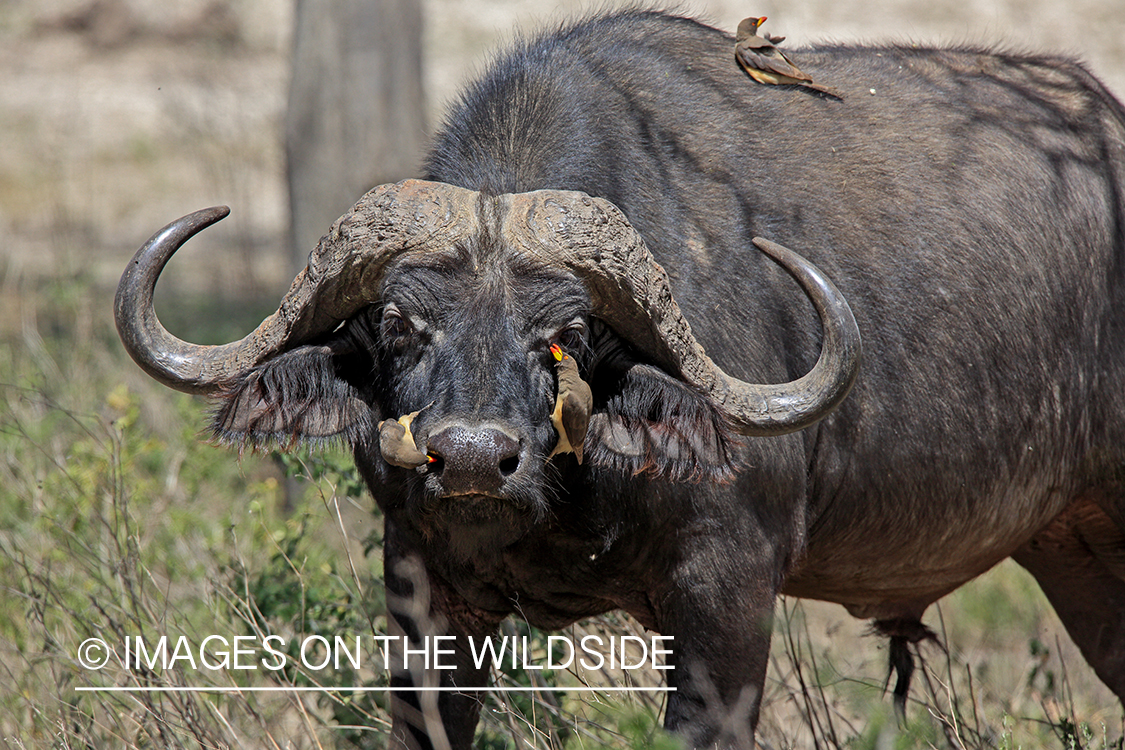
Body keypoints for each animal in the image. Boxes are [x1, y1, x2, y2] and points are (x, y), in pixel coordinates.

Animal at [116, 7, 1125, 750]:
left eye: (566, 333)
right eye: (399, 324)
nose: (471, 460)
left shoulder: (727, 591)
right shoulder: (422, 581)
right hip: (1073, 553)